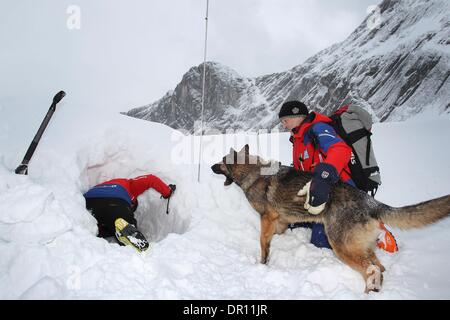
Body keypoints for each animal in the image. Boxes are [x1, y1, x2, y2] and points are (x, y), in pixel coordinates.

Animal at [211, 144, 450, 292]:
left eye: (221, 162)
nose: (210, 166)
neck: (252, 172)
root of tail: (370, 202)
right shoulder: (280, 220)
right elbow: (277, 234)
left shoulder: (267, 219)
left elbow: (263, 243)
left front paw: (263, 263)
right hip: (360, 245)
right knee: (379, 267)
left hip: (340, 245)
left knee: (371, 269)